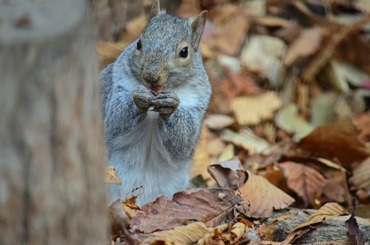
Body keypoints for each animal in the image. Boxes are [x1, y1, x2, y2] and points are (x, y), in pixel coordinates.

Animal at [100, 0, 211, 206]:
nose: (151, 76)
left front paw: (170, 107)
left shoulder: (197, 104)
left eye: (184, 52)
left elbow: (182, 142)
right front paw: (138, 98)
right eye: (139, 42)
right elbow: (114, 122)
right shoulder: (117, 87)